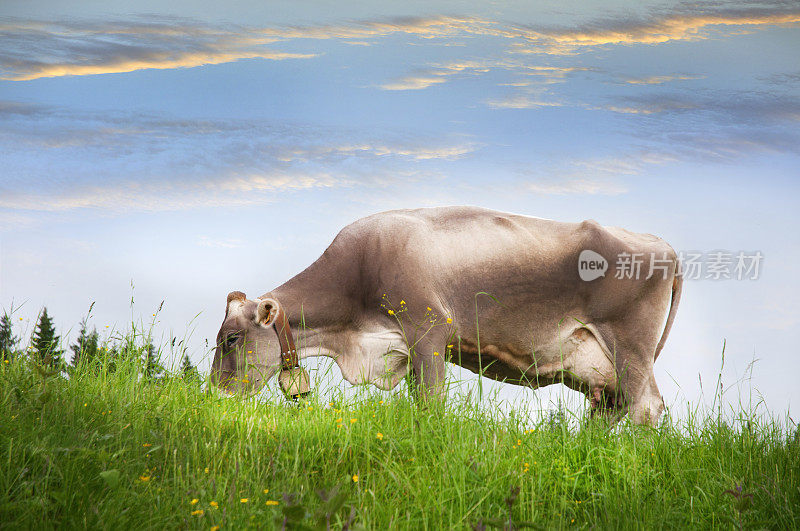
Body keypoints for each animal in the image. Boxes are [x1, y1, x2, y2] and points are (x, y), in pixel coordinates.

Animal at [211, 206, 680, 426]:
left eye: (231, 339)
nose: (213, 393)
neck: (349, 338)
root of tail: (663, 246)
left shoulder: (429, 331)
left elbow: (430, 403)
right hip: (601, 366)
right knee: (612, 409)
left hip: (630, 344)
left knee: (646, 407)